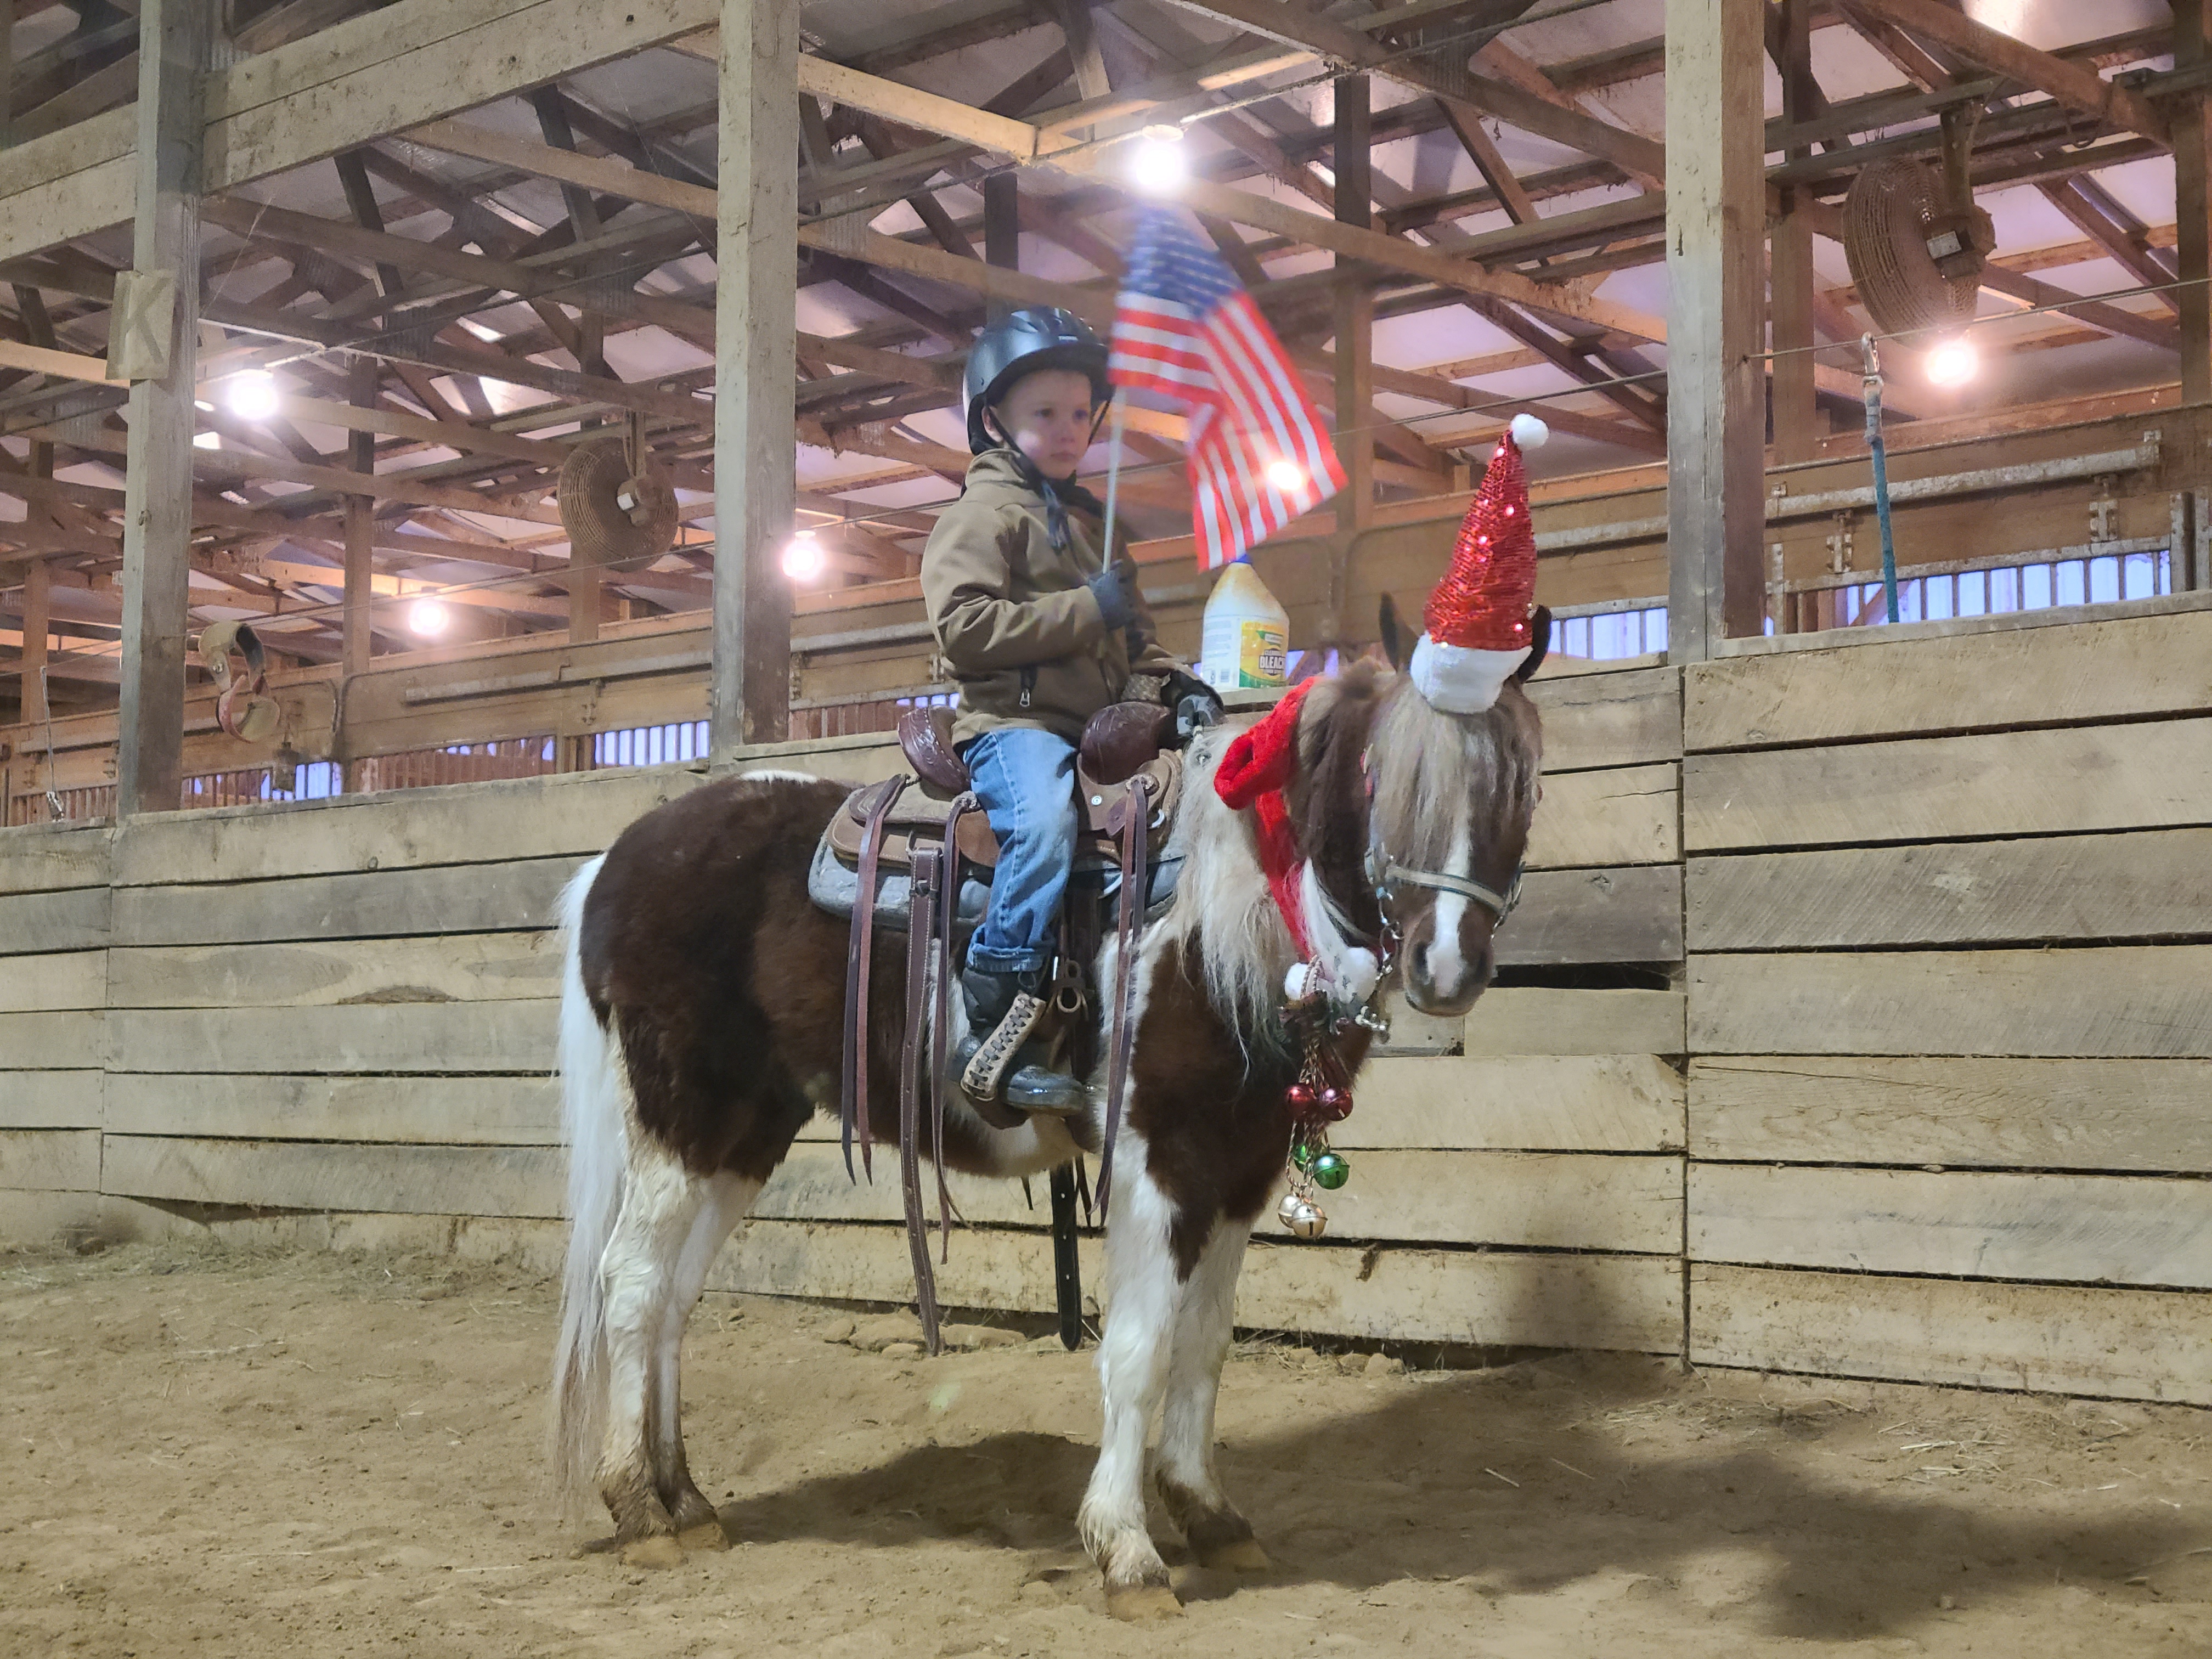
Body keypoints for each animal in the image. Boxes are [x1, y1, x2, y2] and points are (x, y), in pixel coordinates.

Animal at [549, 652, 1544, 1617]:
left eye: (1524, 786)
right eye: (1385, 777)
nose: (1447, 967)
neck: (1226, 916)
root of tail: (618, 858)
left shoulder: (1238, 1171)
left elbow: (1206, 1346)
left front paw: (1211, 1515)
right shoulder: (1156, 1160)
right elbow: (1139, 1351)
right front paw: (1128, 1550)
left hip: (743, 1132)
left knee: (676, 1295)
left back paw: (687, 1500)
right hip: (682, 1114)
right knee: (632, 1280)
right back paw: (640, 1508)